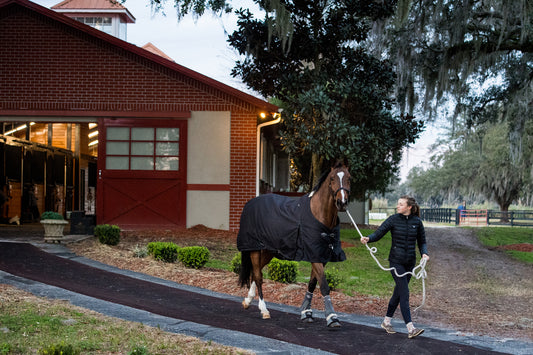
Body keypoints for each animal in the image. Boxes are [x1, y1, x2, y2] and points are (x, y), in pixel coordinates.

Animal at [237, 161, 350, 328]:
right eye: (331, 179)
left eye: (349, 178)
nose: (342, 203)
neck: (319, 215)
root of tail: (250, 203)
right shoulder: (314, 254)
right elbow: (323, 285)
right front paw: (332, 317)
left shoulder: (320, 255)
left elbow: (312, 283)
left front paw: (306, 312)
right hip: (255, 248)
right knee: (258, 275)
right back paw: (264, 310)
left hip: (270, 251)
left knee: (255, 272)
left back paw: (247, 300)